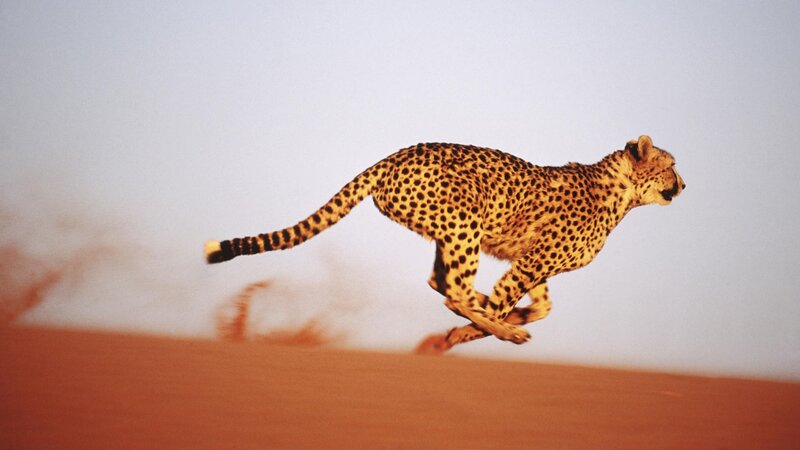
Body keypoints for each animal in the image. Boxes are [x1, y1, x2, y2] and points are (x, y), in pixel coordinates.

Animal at [205, 135, 684, 353]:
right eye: (671, 165)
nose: (683, 184)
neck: (623, 194)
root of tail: (395, 154)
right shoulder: (532, 263)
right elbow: (504, 302)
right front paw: (475, 331)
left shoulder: (532, 262)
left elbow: (543, 306)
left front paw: (512, 316)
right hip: (466, 222)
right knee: (451, 290)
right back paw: (499, 329)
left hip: (449, 231)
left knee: (441, 283)